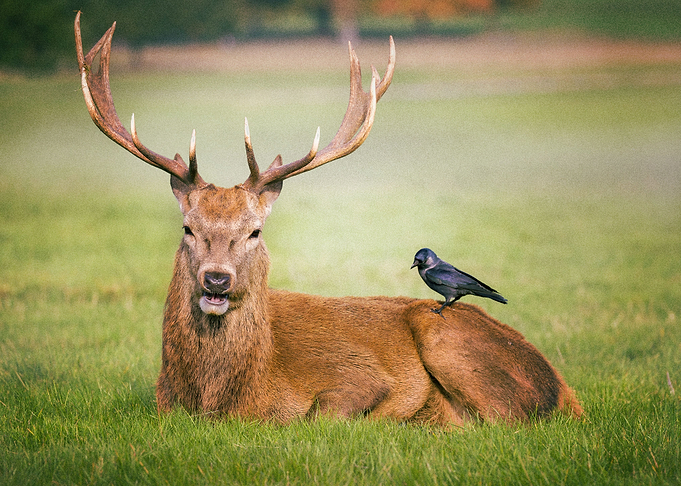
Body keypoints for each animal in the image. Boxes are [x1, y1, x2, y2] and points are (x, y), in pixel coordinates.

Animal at [75, 12, 582, 427]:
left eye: (255, 231)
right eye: (188, 228)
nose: (216, 279)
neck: (225, 399)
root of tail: (566, 393)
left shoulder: (362, 376)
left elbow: (326, 413)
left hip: (445, 336)